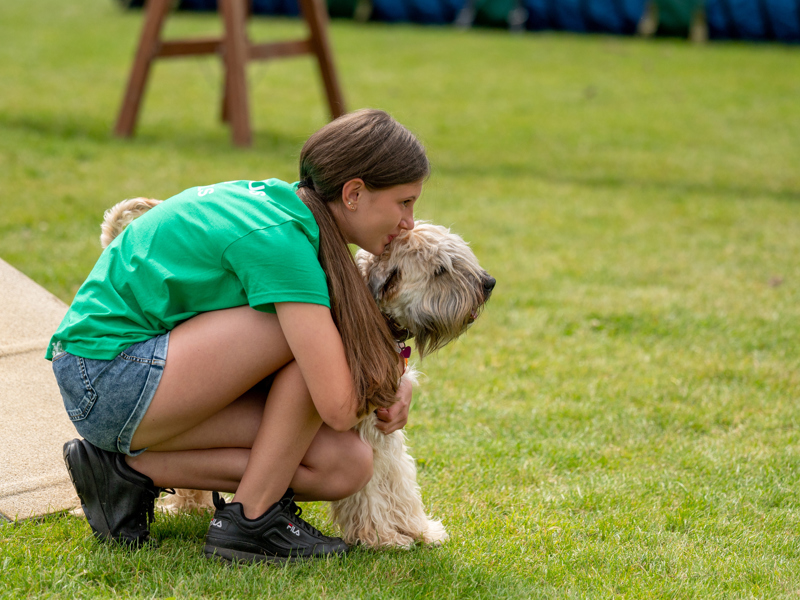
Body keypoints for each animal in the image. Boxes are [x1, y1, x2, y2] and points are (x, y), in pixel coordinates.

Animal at [100, 196, 494, 548]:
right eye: (440, 270)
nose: (488, 283)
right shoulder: (359, 430)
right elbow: (370, 489)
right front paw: (381, 537)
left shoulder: (383, 428)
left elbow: (399, 479)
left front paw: (418, 530)